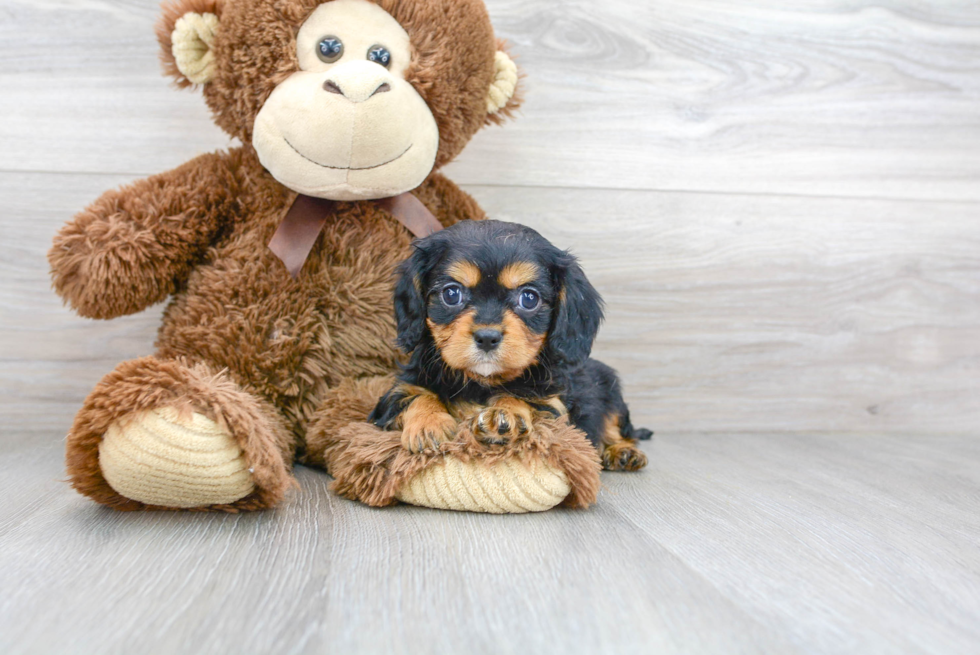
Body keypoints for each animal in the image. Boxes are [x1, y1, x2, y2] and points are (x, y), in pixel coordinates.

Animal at [368, 220, 652, 472]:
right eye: (451, 294)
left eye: (529, 298)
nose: (487, 337)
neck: (481, 381)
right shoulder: (396, 393)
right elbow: (414, 394)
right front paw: (429, 424)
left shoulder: (552, 404)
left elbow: (523, 396)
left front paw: (504, 414)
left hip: (611, 394)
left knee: (616, 429)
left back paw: (622, 452)